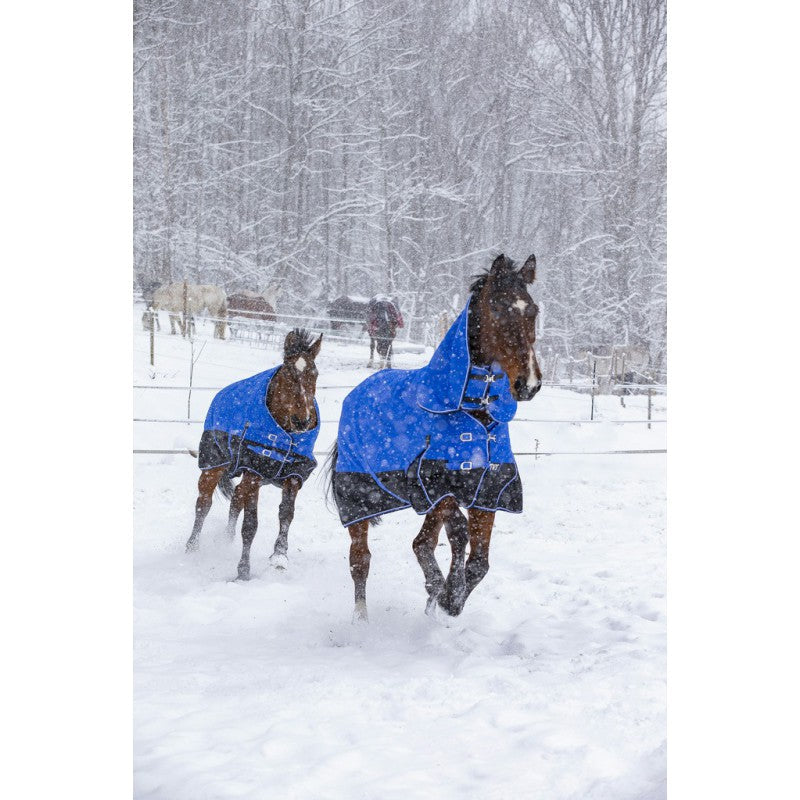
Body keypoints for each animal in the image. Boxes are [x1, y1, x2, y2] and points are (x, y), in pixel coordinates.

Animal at [185, 329, 323, 578]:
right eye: (288, 373)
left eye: (314, 374)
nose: (303, 421)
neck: (284, 432)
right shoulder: (253, 471)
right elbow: (250, 525)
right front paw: (243, 571)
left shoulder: (294, 474)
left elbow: (286, 514)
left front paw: (279, 556)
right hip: (213, 467)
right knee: (203, 504)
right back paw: (191, 547)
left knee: (236, 499)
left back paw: (226, 541)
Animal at [325, 253, 541, 622]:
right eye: (498, 308)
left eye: (534, 310)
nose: (528, 383)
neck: (472, 412)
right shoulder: (438, 484)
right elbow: (458, 534)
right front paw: (447, 593)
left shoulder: (489, 489)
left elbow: (479, 561)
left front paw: (448, 597)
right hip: (359, 499)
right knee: (360, 560)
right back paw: (361, 620)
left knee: (421, 542)